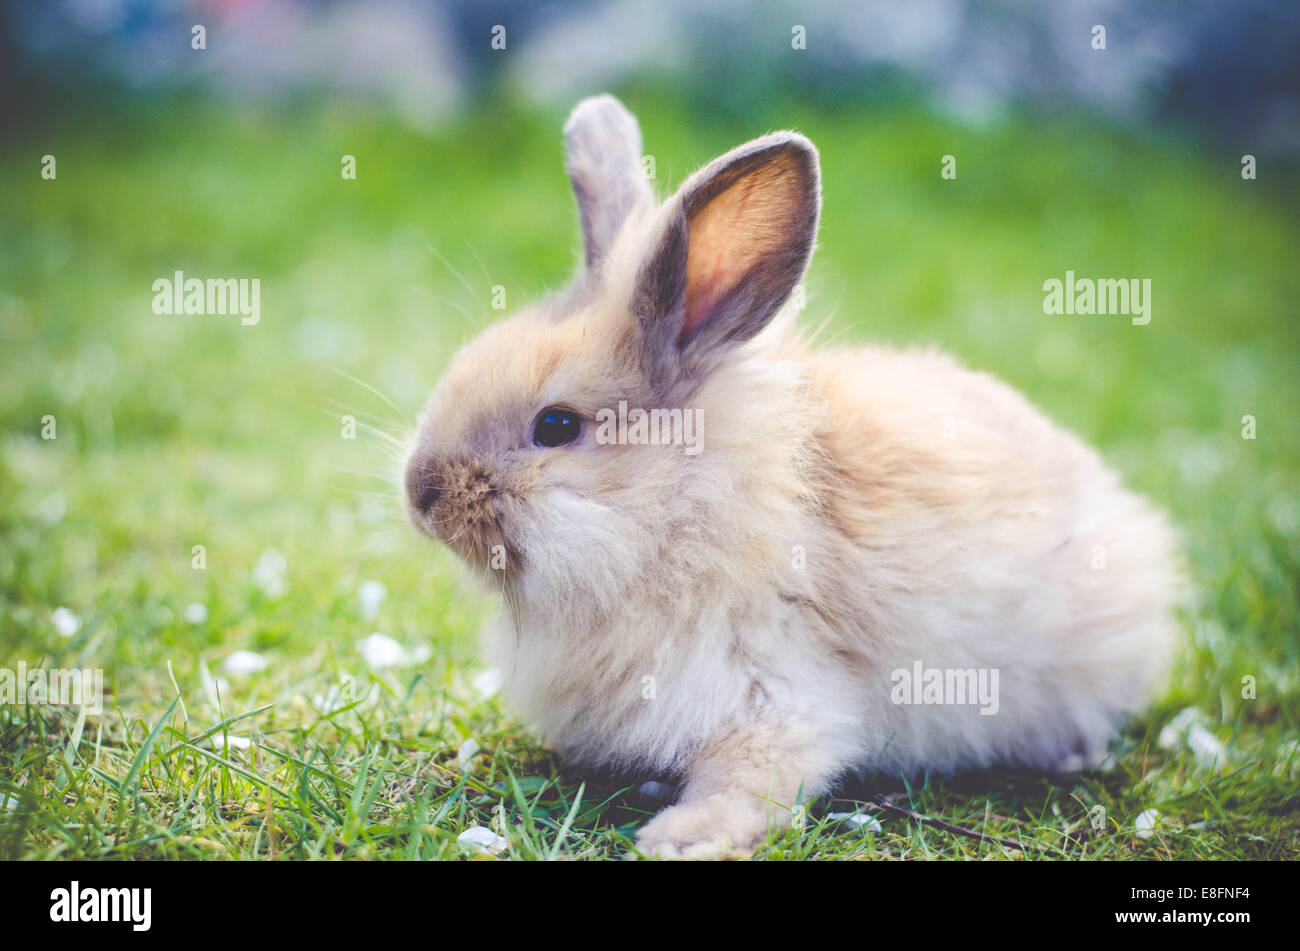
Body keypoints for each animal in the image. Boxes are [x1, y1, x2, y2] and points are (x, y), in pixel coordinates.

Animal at [403, 95, 1183, 859]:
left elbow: (753, 778)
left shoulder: (770, 693)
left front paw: (683, 838)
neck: (680, 508)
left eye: (557, 426)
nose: (419, 494)